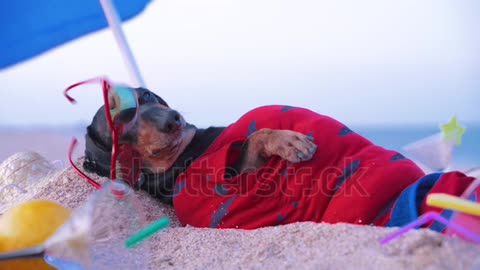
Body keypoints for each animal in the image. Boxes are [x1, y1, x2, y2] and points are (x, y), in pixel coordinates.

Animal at [84, 87, 316, 204]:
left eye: (146, 95)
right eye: (118, 124)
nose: (173, 119)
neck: (182, 151)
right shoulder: (234, 176)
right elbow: (254, 138)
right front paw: (287, 141)